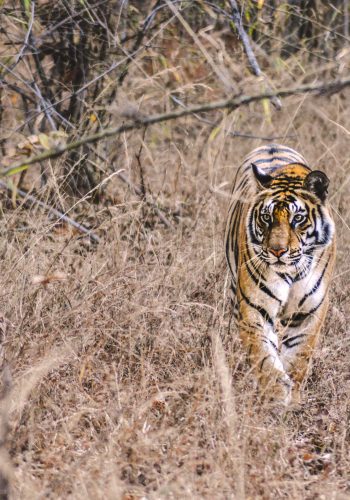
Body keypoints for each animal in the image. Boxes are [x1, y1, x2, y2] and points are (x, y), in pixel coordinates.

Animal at [226, 143, 334, 404]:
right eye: (266, 217)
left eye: (298, 218)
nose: (277, 251)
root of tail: (270, 144)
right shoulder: (254, 308)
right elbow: (264, 358)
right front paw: (275, 395)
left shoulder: (309, 313)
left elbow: (298, 357)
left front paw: (292, 398)